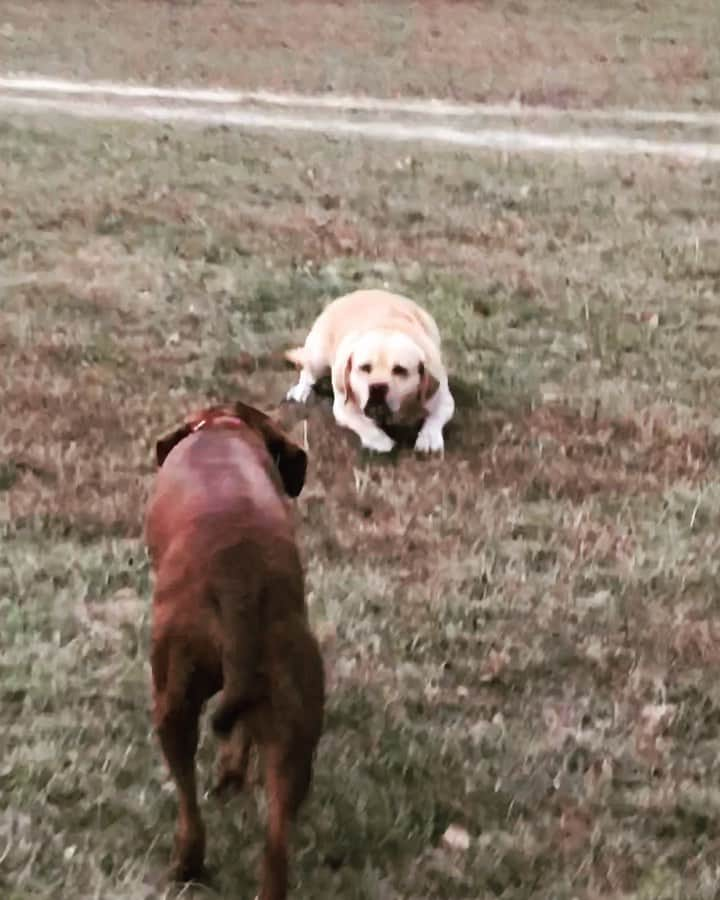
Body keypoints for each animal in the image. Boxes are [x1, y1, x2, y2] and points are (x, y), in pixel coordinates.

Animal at [145, 402, 324, 900]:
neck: (225, 427)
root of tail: (240, 583)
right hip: (294, 733)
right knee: (277, 844)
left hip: (172, 702)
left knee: (188, 800)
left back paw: (186, 862)